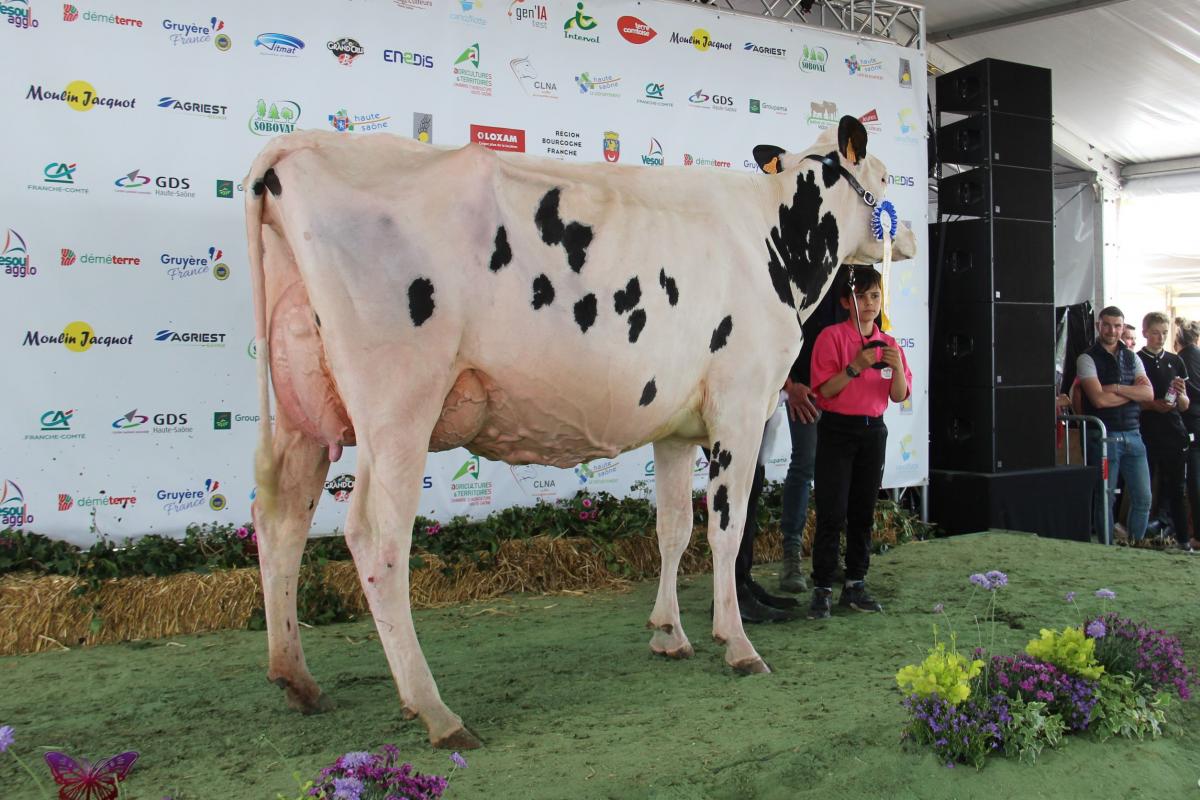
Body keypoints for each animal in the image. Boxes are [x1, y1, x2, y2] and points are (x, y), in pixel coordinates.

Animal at [246, 118, 916, 753]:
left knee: (282, 516)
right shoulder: (741, 404)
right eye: (885, 177)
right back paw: (435, 709)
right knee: (375, 538)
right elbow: (725, 530)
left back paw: (297, 680)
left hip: (304, 409)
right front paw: (737, 642)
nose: (904, 234)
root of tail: (293, 148)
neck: (771, 239)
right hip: (398, 407)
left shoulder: (675, 427)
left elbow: (674, 528)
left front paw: (669, 634)